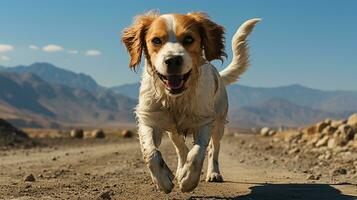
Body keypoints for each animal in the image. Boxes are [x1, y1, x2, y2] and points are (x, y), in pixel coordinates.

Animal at [121, 11, 258, 193]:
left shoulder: (204, 122)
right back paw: (180, 169)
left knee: (213, 149)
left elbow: (197, 153)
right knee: (181, 149)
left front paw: (188, 180)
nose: (173, 60)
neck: (176, 98)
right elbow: (150, 153)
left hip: (219, 124)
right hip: (173, 131)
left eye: (188, 39)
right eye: (156, 40)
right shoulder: (149, 120)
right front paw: (163, 180)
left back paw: (213, 173)